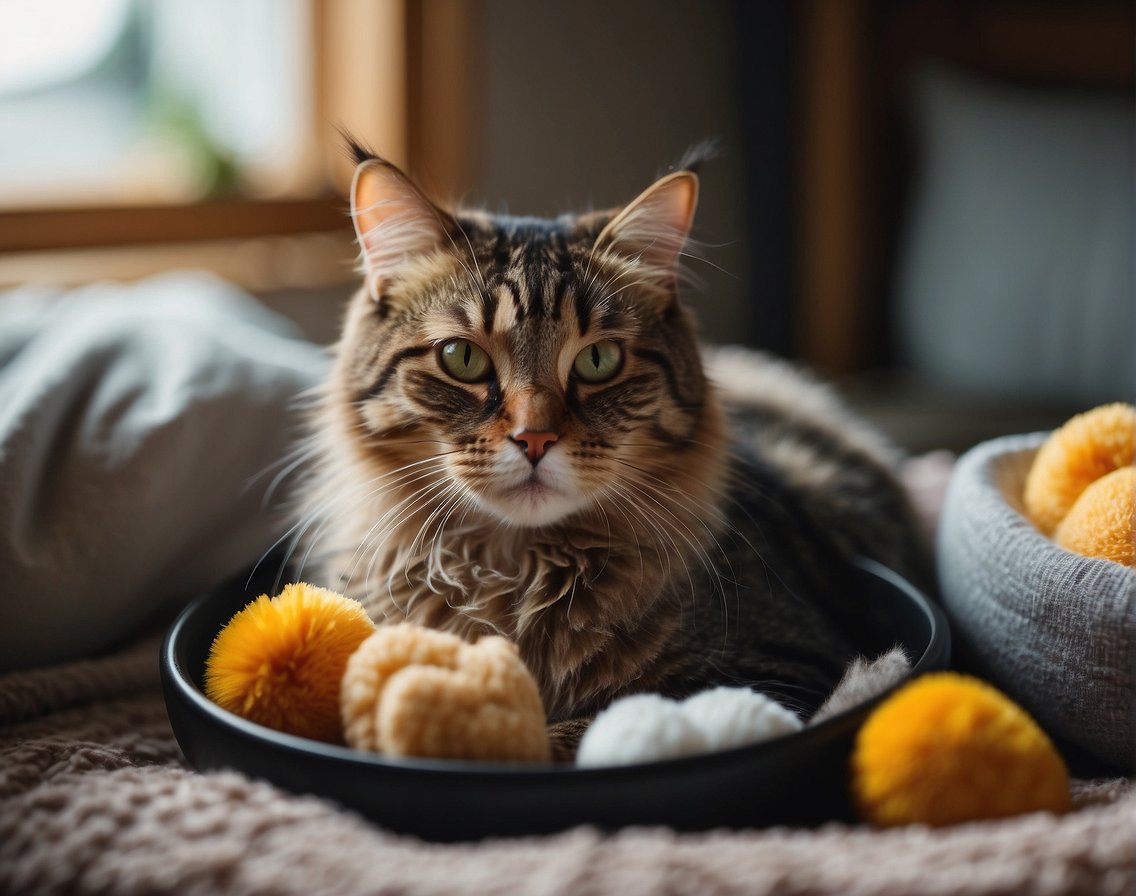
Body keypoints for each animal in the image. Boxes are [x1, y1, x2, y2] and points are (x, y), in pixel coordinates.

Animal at [297, 143, 926, 758]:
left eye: (598, 361)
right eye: (462, 358)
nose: (535, 438)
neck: (519, 573)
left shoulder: (787, 669)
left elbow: (579, 731)